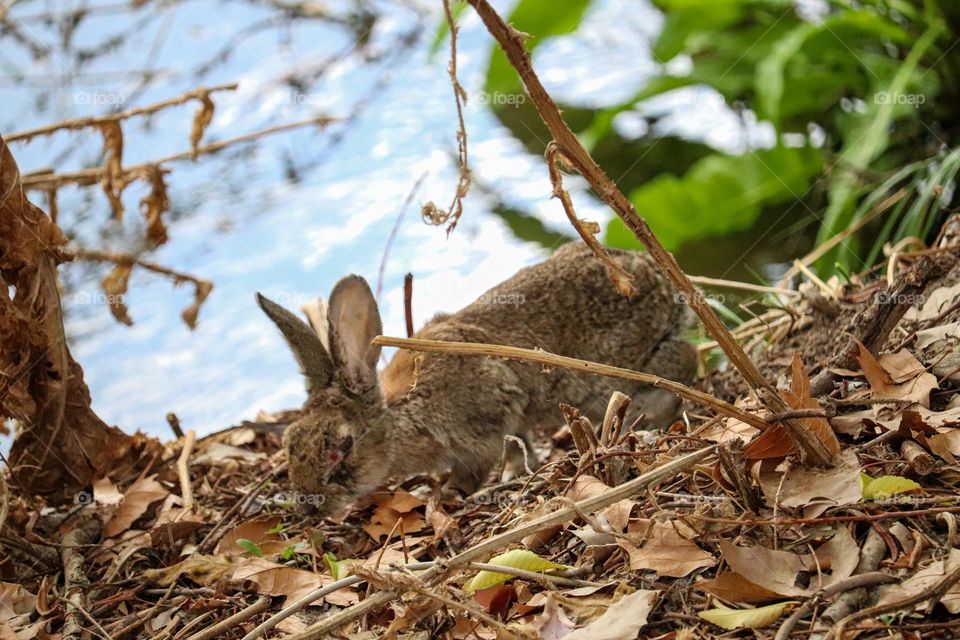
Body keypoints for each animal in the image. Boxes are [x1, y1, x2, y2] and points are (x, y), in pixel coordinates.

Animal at [260, 242, 696, 516]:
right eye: (290, 442)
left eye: (341, 447)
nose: (309, 509)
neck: (402, 416)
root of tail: (660, 279)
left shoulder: (477, 433)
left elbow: (473, 469)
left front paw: (443, 494)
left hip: (623, 370)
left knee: (683, 366)